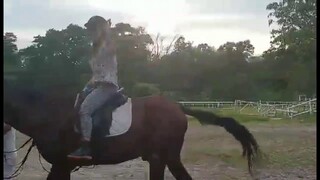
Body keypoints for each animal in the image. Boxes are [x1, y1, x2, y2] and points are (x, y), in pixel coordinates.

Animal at [3, 81, 262, 180]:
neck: (47, 113)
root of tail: (177, 106)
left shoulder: (61, 164)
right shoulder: (63, 166)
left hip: (160, 157)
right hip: (164, 158)